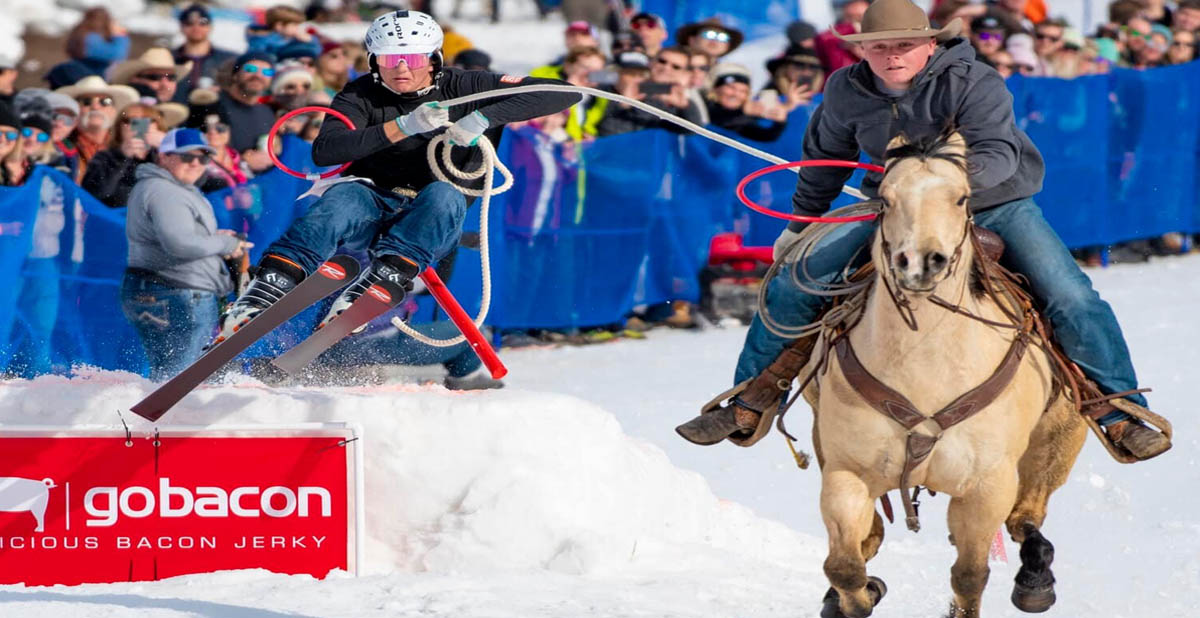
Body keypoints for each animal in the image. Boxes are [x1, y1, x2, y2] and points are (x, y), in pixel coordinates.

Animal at [801, 132, 1094, 618]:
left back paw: (1035, 579)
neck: (925, 368)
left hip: (1058, 438)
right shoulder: (847, 472)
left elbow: (970, 576)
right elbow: (843, 566)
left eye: (961, 198)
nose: (921, 261)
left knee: (1026, 519)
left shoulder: (986, 487)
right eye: (885, 199)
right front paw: (858, 595)